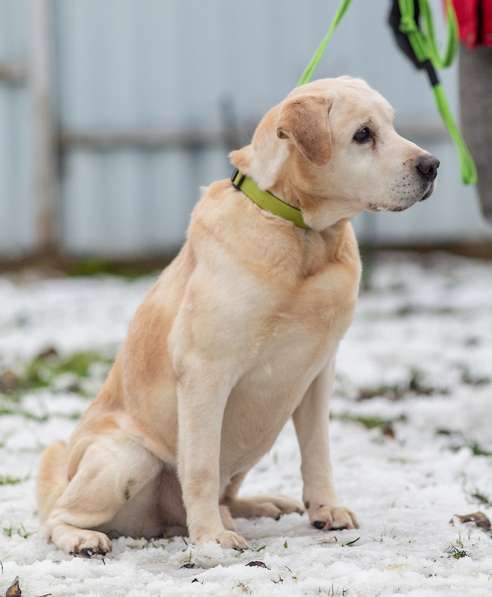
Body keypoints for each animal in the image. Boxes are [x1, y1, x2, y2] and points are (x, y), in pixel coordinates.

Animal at [37, 78, 438, 556]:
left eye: (392, 126)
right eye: (363, 134)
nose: (432, 165)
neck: (301, 232)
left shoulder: (318, 372)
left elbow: (317, 450)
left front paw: (325, 508)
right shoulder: (205, 372)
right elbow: (201, 466)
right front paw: (211, 538)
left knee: (228, 494)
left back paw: (261, 505)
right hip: (127, 458)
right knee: (58, 516)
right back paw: (84, 537)